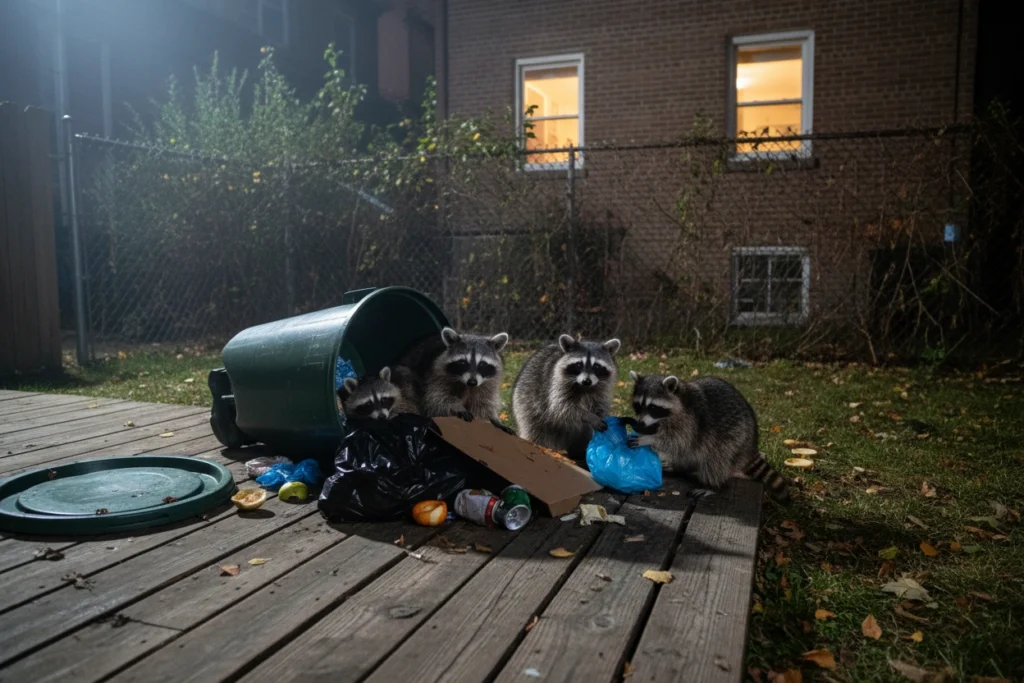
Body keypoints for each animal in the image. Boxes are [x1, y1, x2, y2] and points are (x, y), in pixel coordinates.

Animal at [626, 371, 790, 501]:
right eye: (638, 405)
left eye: (653, 407)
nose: (640, 424)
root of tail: (751, 445)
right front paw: (647, 432)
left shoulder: (690, 421)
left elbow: (677, 441)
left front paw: (648, 439)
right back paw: (679, 467)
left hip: (735, 438)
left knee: (715, 460)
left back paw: (713, 485)